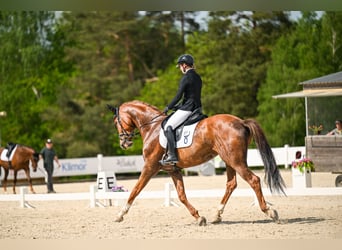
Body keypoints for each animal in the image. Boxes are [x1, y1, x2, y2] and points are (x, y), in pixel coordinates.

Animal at [107, 100, 286, 226]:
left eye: (116, 122)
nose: (124, 144)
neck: (152, 127)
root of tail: (241, 122)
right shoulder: (173, 170)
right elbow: (181, 195)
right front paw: (199, 217)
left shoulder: (150, 167)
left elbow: (135, 190)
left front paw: (119, 215)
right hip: (229, 160)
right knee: (231, 184)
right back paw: (217, 215)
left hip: (235, 160)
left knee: (253, 180)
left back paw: (270, 212)